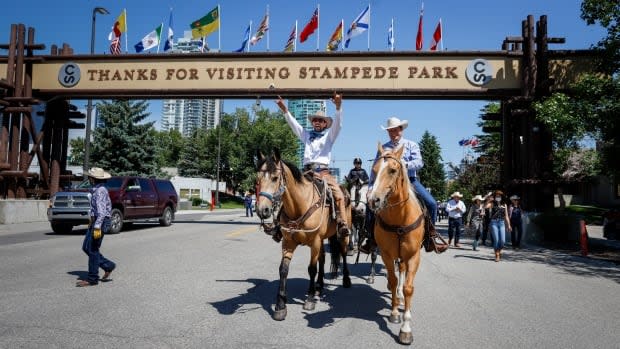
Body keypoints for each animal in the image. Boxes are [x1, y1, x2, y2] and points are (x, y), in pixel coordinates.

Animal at [254, 148, 352, 320]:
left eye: (275, 178)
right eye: (258, 179)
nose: (262, 210)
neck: (299, 205)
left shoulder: (315, 242)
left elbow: (311, 269)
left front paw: (310, 299)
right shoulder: (288, 243)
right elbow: (283, 270)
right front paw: (280, 306)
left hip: (342, 236)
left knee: (343, 253)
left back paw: (345, 280)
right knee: (323, 259)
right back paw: (319, 286)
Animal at [368, 143, 426, 344]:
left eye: (393, 170)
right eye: (374, 170)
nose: (373, 200)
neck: (400, 218)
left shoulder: (414, 256)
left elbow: (408, 287)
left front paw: (406, 329)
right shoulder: (386, 253)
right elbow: (393, 281)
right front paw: (394, 313)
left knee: (402, 272)